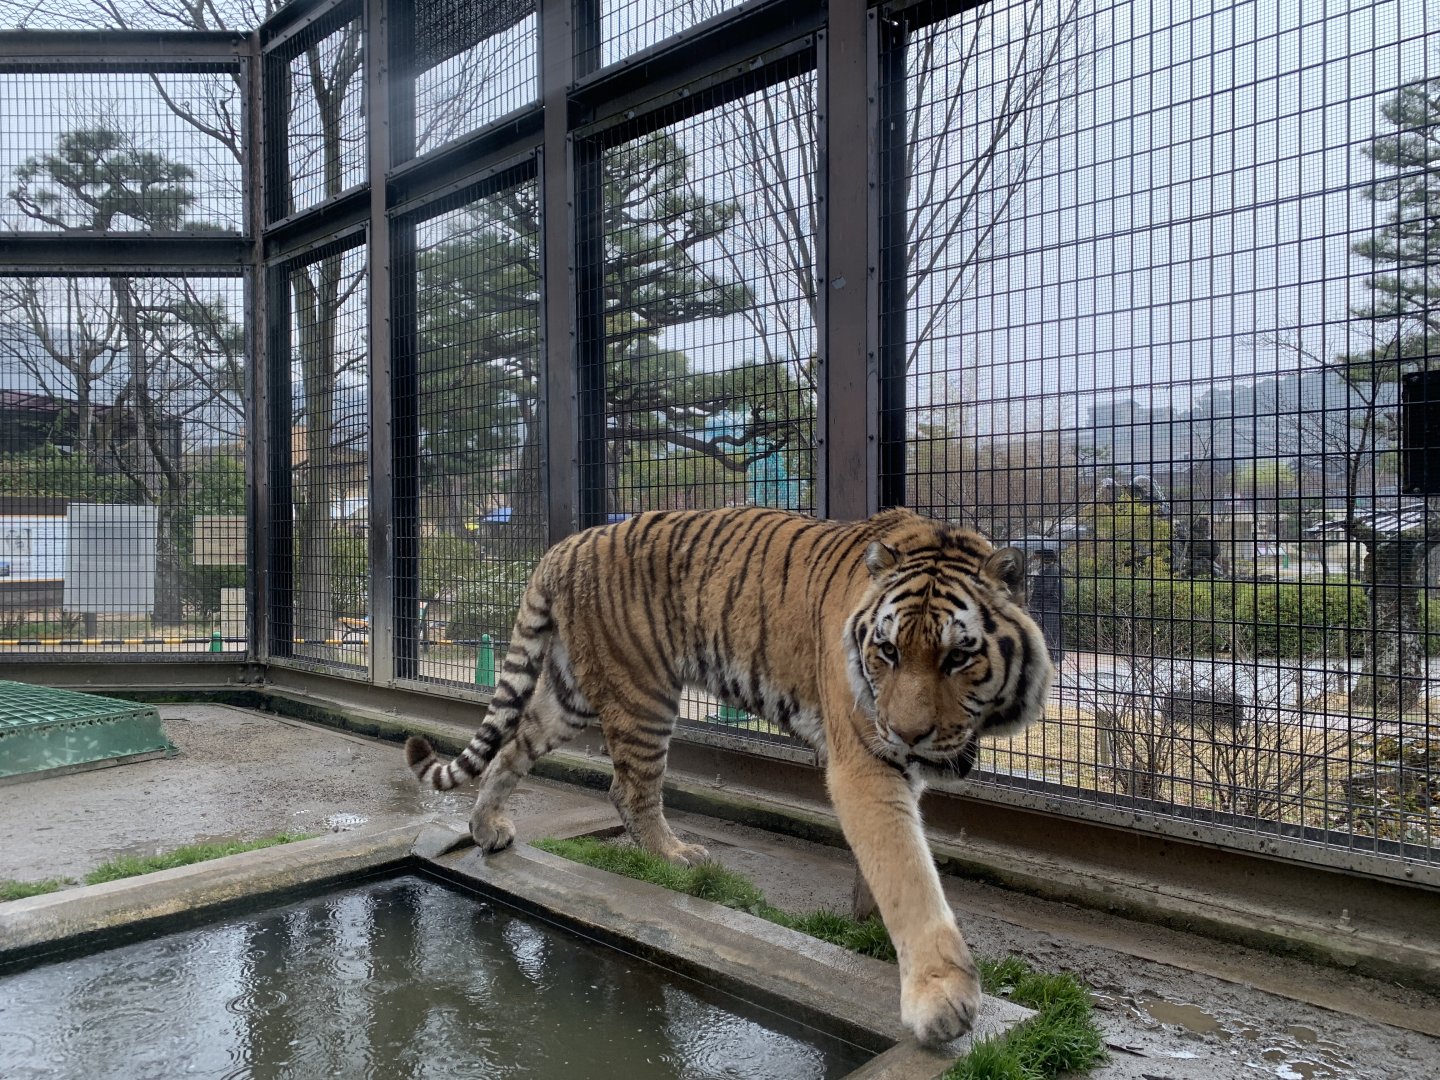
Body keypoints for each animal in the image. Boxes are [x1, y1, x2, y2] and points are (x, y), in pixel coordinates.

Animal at [405, 505, 1053, 1044]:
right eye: (888, 651)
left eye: (959, 656)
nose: (905, 733)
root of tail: (566, 544)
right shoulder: (864, 762)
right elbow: (908, 872)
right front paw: (940, 997)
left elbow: (889, 860)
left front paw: (871, 926)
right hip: (642, 693)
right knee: (629, 788)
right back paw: (675, 857)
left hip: (571, 695)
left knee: (514, 744)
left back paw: (487, 826)